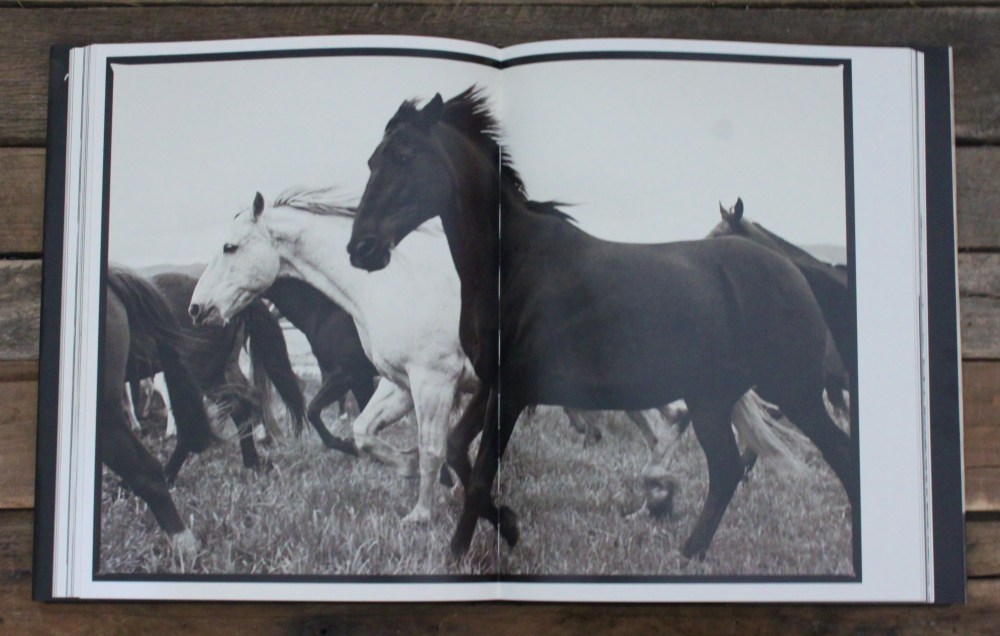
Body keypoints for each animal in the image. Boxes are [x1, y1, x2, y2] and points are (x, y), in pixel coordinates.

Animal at [346, 87, 859, 573]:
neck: (514, 266)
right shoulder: (491, 382)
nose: (361, 248)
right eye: (371, 161)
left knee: (836, 455)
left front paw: (457, 553)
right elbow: (456, 450)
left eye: (405, 158)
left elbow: (479, 475)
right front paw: (508, 524)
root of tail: (794, 273)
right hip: (711, 397)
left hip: (793, 391)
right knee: (728, 469)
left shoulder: (513, 389)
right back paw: (688, 552)